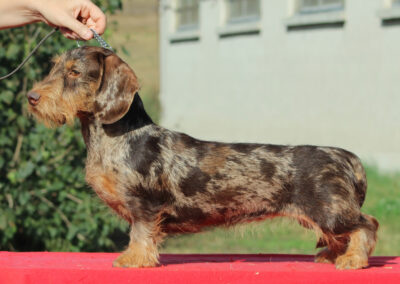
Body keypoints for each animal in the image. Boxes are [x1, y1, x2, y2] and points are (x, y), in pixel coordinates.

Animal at [27, 46, 378, 268]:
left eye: (74, 72)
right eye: (54, 67)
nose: (31, 97)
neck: (120, 137)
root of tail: (345, 156)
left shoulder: (144, 206)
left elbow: (140, 235)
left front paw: (134, 260)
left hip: (331, 211)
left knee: (367, 224)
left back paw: (353, 260)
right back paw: (333, 255)